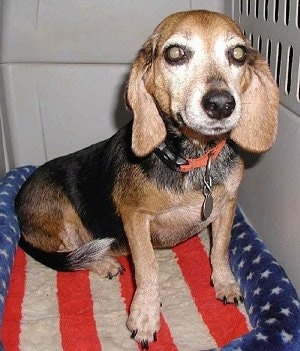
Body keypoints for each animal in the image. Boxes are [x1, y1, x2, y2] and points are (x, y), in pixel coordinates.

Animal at [14, 9, 278, 350]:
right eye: (175, 53)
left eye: (238, 54)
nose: (221, 104)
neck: (193, 159)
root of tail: (17, 210)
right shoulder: (135, 218)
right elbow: (147, 267)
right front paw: (145, 315)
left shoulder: (227, 206)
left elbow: (219, 248)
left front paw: (224, 282)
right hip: (59, 208)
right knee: (73, 248)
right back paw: (102, 262)